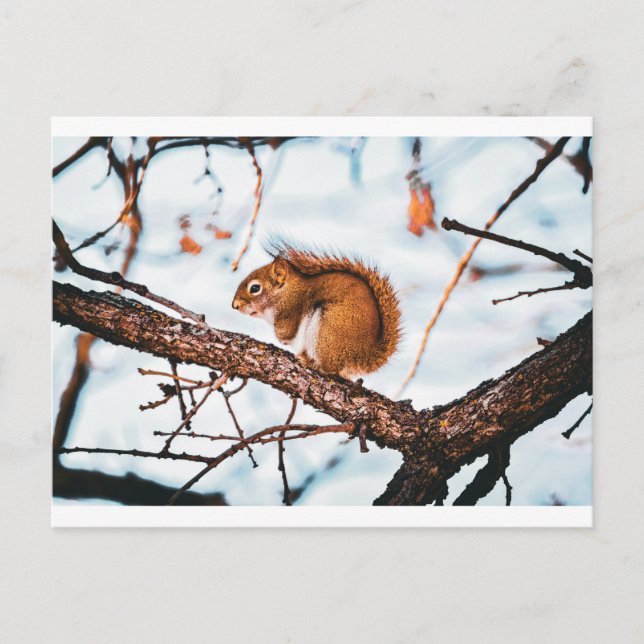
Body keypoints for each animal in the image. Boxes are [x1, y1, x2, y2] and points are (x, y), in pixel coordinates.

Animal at [232, 239, 401, 379]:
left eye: (255, 288)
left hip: (327, 331)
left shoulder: (291, 310)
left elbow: (286, 332)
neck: (285, 293)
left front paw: (280, 337)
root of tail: (363, 356)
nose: (234, 305)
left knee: (330, 368)